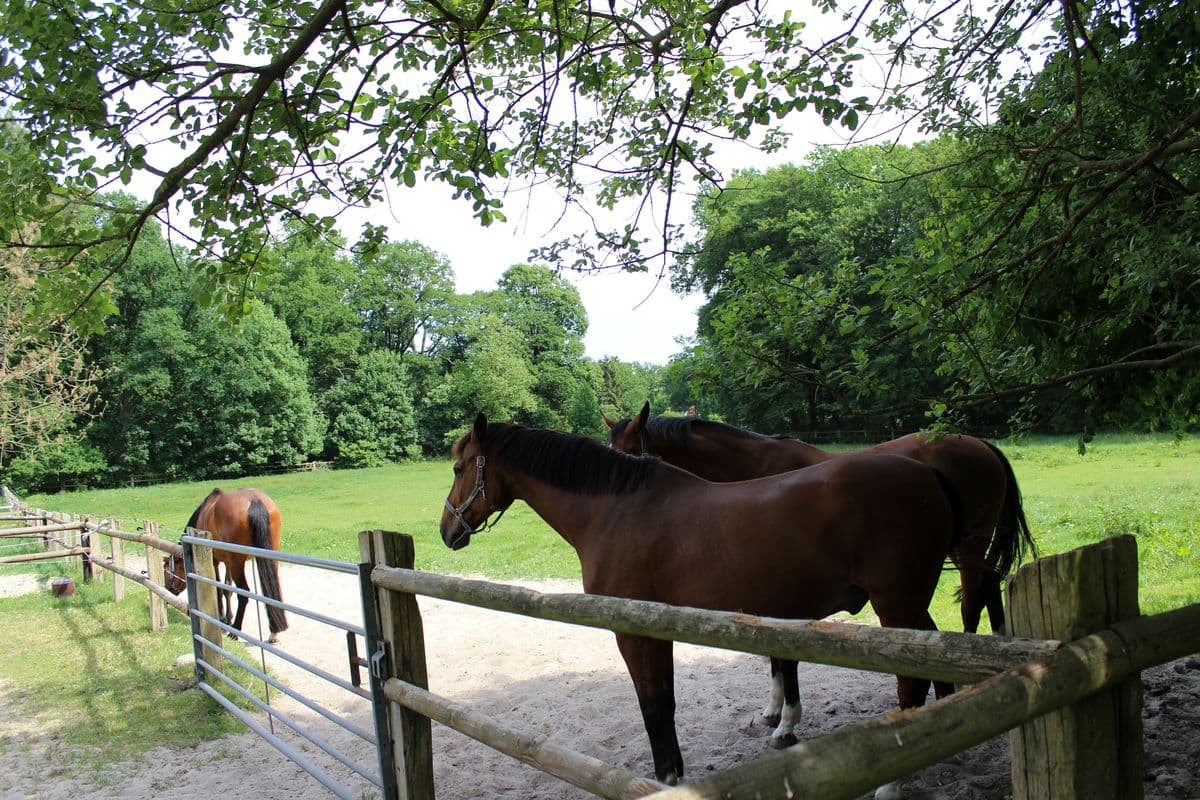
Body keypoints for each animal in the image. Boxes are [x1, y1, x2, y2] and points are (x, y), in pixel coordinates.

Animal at [164, 484, 288, 642]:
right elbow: (227, 589)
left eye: (166, 570)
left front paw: (222, 619)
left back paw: (235, 630)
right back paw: (273, 631)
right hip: (268, 558)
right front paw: (228, 618)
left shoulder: (215, 562)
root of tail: (254, 500)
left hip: (238, 563)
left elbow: (219, 588)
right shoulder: (228, 563)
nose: (168, 590)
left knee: (243, 593)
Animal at [441, 412, 964, 796]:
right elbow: (666, 703)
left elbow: (654, 707)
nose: (447, 531)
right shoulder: (662, 631)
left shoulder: (635, 634)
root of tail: (928, 473)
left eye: (458, 468)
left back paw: (891, 783)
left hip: (897, 606)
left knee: (910, 686)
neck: (615, 509)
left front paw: (668, 778)